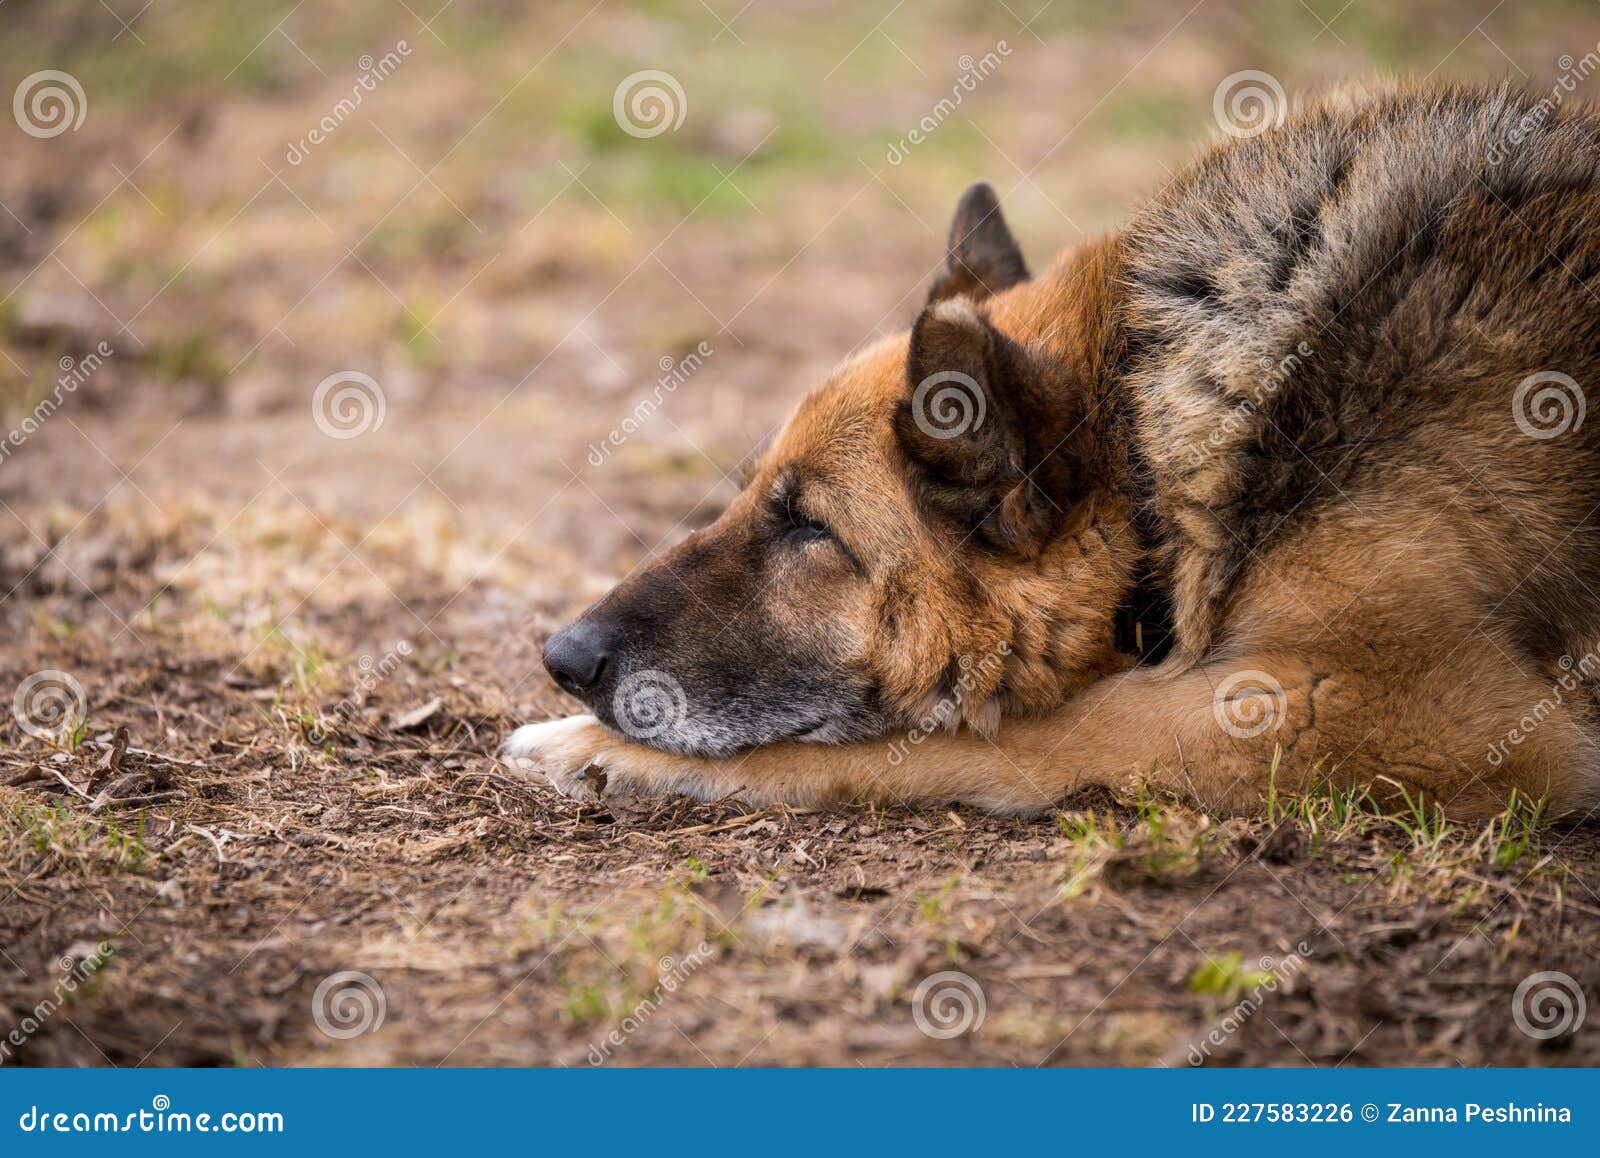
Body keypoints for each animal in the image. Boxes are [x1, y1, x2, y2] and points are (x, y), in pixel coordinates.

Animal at [505, 81, 1600, 818]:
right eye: (746, 497)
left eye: (809, 527)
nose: (562, 660)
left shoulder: (1373, 708)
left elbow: (974, 736)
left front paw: (593, 747)